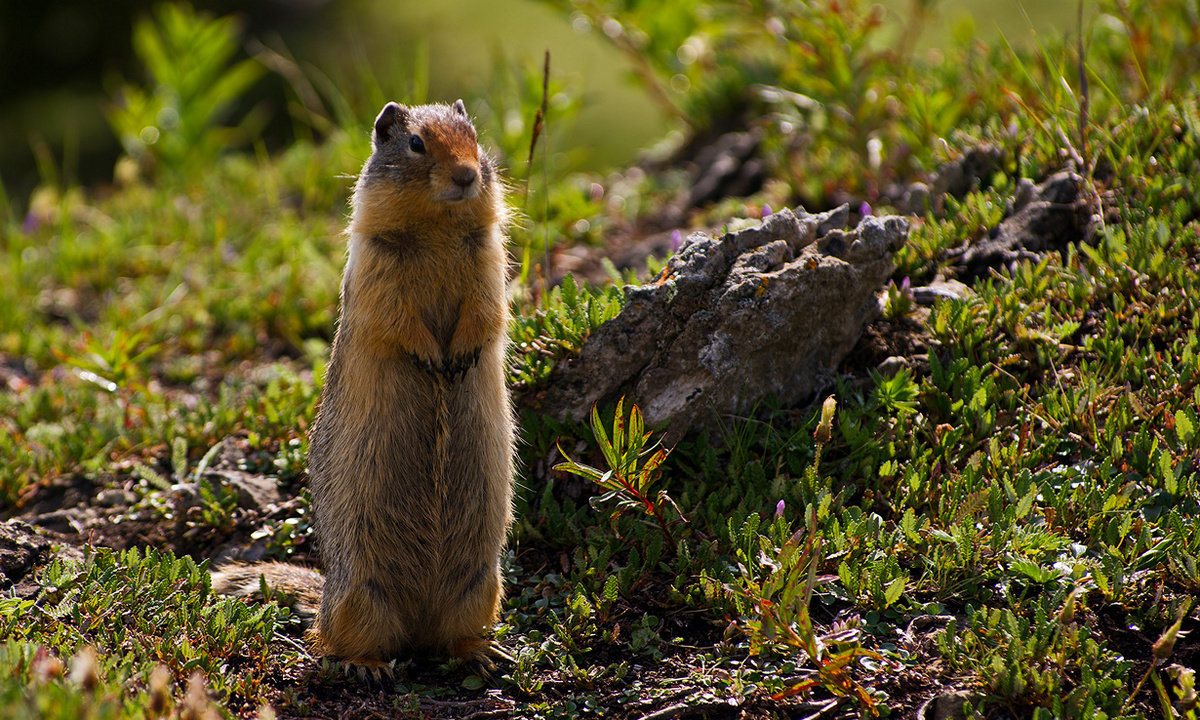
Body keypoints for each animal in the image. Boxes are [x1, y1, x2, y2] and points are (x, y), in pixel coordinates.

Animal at [213, 98, 513, 667]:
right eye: (416, 143)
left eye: (475, 139)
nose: (467, 175)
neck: (437, 227)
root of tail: (418, 625)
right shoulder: (376, 266)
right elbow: (395, 317)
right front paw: (432, 358)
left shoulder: (489, 260)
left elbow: (487, 312)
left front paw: (459, 357)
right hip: (360, 593)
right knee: (338, 640)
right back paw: (365, 666)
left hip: (482, 585)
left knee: (454, 635)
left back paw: (479, 654)